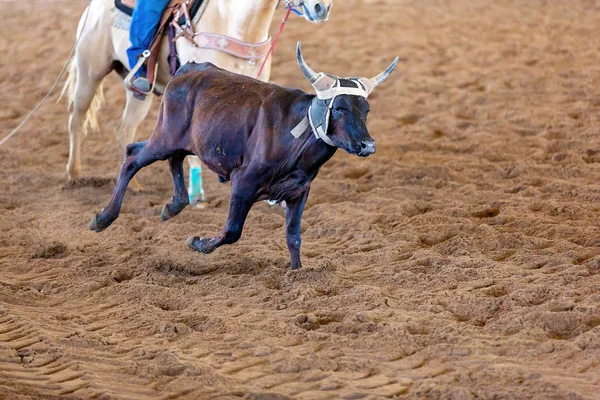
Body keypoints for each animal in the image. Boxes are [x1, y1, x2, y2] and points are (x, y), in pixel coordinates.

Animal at [64, 0, 332, 205]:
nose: (322, 8)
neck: (235, 24)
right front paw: (196, 194)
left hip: (138, 93)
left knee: (124, 130)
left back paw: (136, 185)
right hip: (90, 73)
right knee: (76, 119)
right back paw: (74, 174)